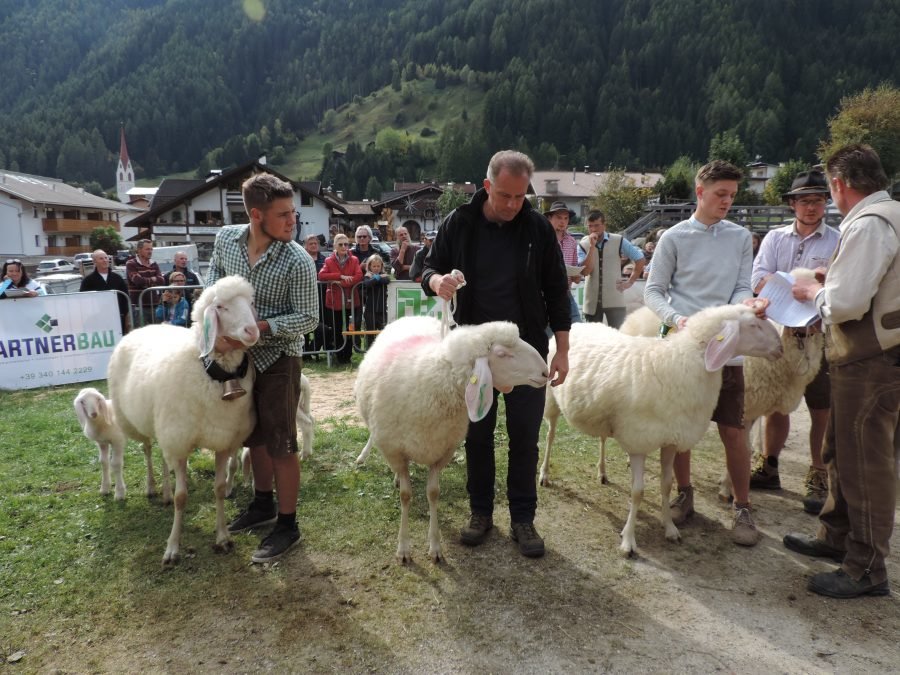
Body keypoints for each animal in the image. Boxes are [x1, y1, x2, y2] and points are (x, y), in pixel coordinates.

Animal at [108, 274, 260, 564]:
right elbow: (182, 497)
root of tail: (143, 326)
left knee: (161, 457)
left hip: (166, 429)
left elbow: (219, 488)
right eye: (221, 307)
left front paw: (222, 537)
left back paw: (165, 492)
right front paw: (172, 547)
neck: (210, 372)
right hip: (139, 423)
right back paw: (153, 488)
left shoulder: (222, 442)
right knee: (147, 450)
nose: (252, 331)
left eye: (250, 304)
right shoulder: (178, 441)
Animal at [356, 318, 552, 564]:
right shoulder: (395, 450)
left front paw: (435, 547)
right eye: (502, 354)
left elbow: (433, 493)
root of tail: (414, 317)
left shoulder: (442, 451)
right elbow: (406, 496)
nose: (546, 372)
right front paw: (403, 548)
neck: (435, 380)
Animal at [540, 304, 780, 556]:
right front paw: (628, 541)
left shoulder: (671, 439)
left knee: (602, 439)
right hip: (551, 400)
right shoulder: (638, 440)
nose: (780, 348)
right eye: (753, 325)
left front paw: (670, 527)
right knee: (550, 436)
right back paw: (544, 474)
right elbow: (638, 492)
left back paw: (602, 472)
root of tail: (578, 324)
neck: (682, 362)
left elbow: (666, 485)